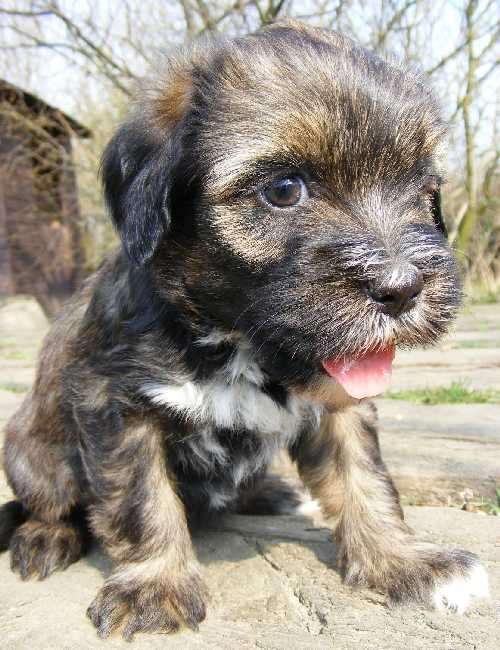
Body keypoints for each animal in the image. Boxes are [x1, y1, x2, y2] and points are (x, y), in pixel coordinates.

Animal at [0, 20, 486, 636]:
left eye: (422, 188)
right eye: (283, 189)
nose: (402, 288)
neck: (236, 345)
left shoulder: (340, 402)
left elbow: (366, 476)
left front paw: (402, 560)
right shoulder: (116, 406)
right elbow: (140, 500)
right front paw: (156, 585)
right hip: (31, 451)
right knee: (46, 500)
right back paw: (45, 537)